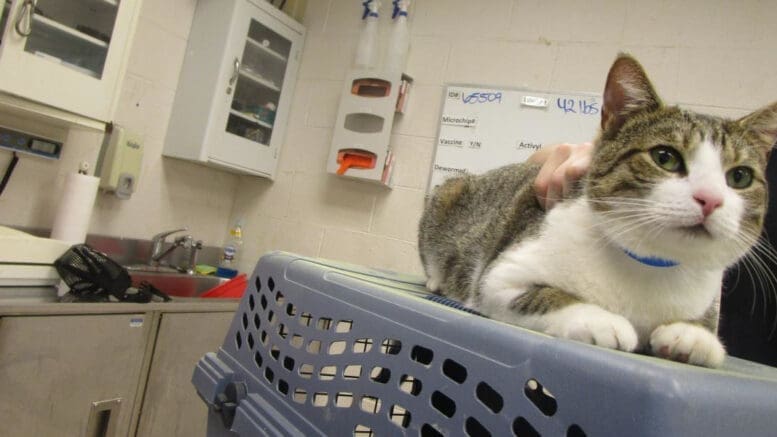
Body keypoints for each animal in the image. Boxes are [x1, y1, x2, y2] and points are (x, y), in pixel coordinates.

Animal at [418, 54, 776, 368]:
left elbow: (702, 329)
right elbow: (542, 295)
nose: (710, 199)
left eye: (740, 177)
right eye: (665, 157)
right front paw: (601, 321)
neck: (648, 265)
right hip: (450, 192)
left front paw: (693, 336)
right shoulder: (499, 278)